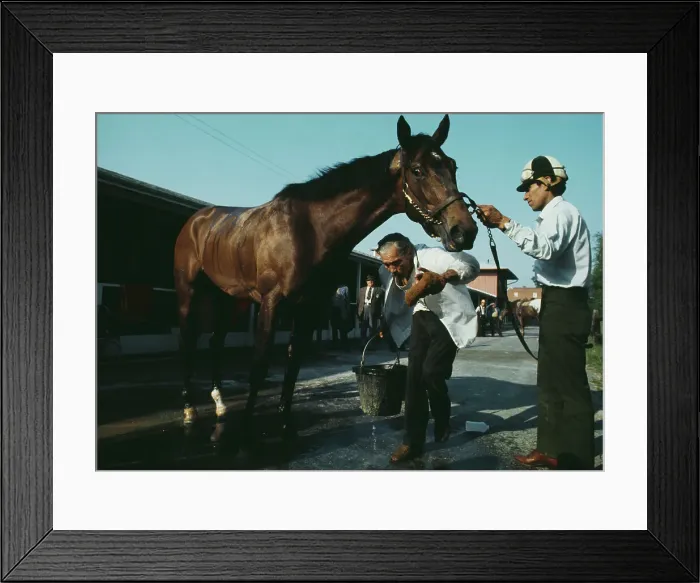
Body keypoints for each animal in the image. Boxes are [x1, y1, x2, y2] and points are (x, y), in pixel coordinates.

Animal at [172, 114, 479, 441]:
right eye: (418, 170)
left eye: (453, 166)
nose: (464, 230)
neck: (308, 230)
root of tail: (196, 220)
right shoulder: (271, 302)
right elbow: (259, 366)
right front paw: (245, 431)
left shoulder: (309, 307)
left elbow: (293, 365)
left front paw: (285, 426)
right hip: (189, 291)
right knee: (187, 341)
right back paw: (189, 409)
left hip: (229, 298)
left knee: (215, 342)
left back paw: (219, 403)